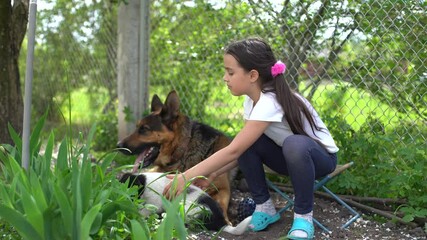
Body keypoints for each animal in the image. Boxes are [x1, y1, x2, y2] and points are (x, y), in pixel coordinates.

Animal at [118, 90, 237, 225]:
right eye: (137, 127)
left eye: (144, 129)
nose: (119, 145)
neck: (182, 153)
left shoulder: (222, 189)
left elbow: (220, 203)